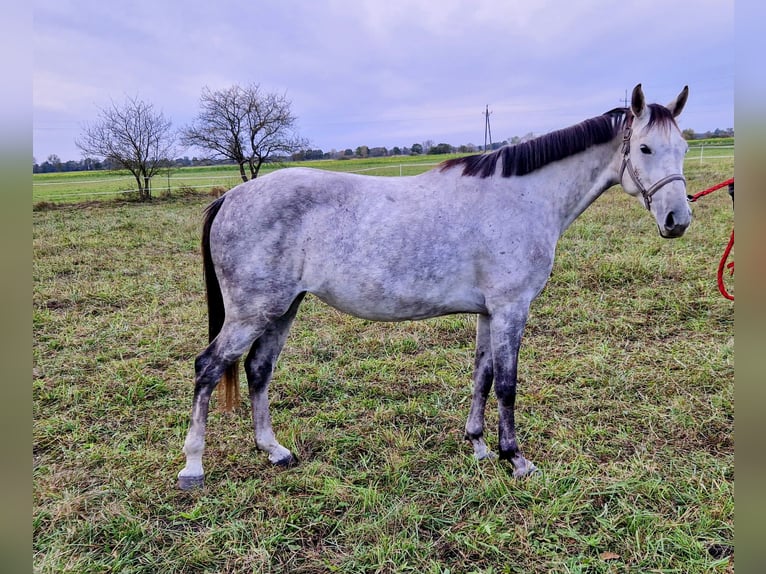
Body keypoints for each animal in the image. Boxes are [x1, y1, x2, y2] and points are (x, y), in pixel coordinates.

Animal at [180, 84, 696, 490]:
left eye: (683, 149)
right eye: (645, 149)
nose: (678, 220)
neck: (523, 197)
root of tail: (232, 196)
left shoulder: (489, 312)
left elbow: (482, 376)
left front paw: (480, 447)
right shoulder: (511, 309)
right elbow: (507, 384)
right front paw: (516, 459)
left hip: (282, 308)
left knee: (257, 369)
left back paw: (274, 450)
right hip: (252, 312)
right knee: (208, 368)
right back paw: (193, 468)